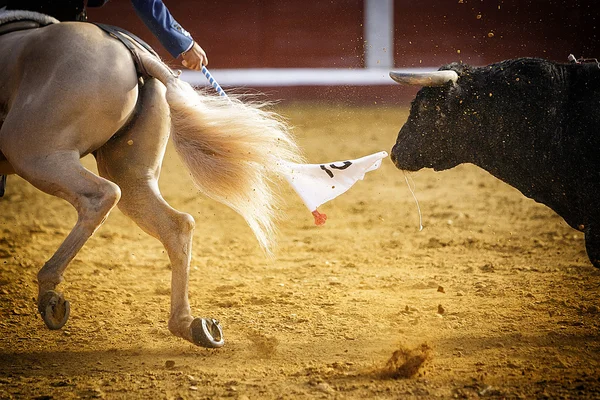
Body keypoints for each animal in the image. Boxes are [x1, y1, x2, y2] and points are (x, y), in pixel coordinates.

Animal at [0, 10, 302, 348]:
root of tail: (136, 53)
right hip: (132, 175)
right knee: (176, 223)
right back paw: (190, 325)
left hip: (34, 151)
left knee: (101, 195)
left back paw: (50, 293)